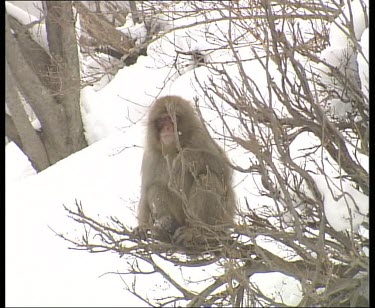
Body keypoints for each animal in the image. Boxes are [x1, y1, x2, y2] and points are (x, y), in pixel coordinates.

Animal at [134, 95, 235, 247]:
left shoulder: (201, 137)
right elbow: (145, 192)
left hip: (221, 218)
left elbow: (225, 171)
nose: (168, 127)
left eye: (174, 118)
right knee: (155, 187)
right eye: (163, 119)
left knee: (207, 177)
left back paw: (199, 232)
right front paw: (143, 226)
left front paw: (185, 158)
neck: (173, 150)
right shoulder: (150, 157)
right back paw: (167, 226)